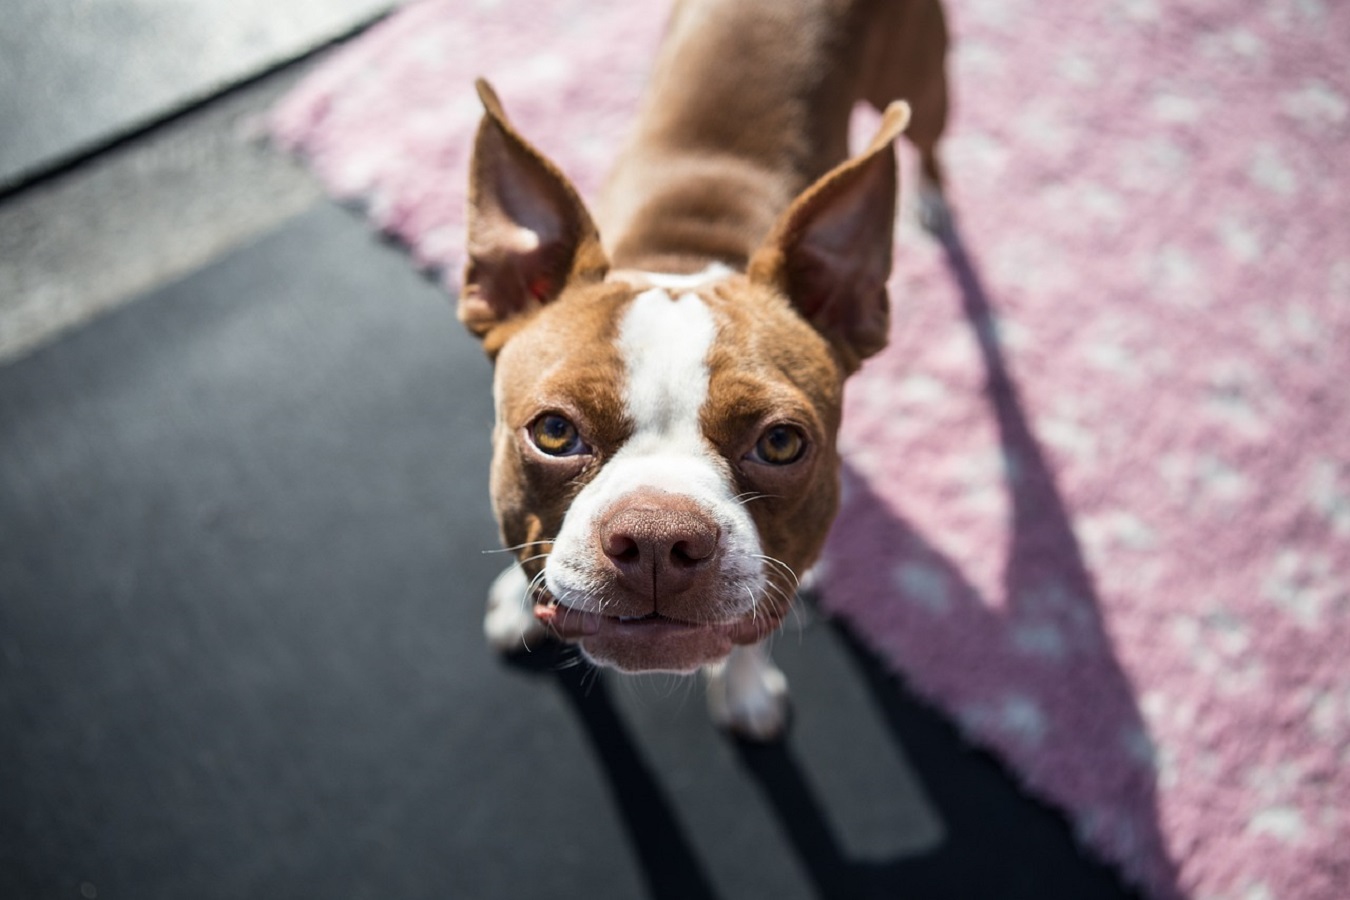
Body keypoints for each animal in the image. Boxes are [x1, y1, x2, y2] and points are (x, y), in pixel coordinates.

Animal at [464, 0, 950, 739]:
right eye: (553, 432)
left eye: (781, 443)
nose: (657, 538)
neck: (684, 256)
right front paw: (518, 601)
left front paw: (745, 690)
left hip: (923, 82)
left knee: (928, 140)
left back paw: (932, 199)